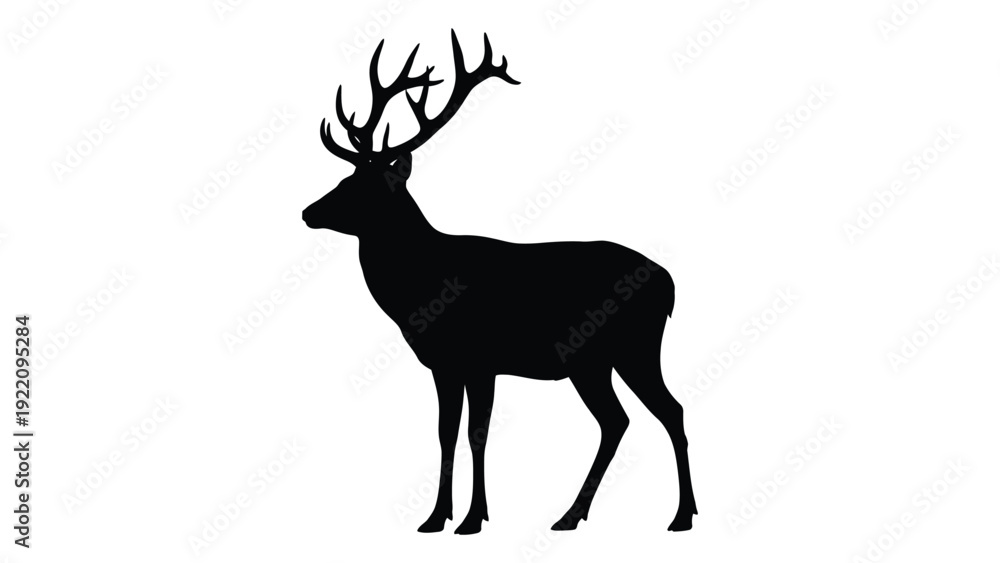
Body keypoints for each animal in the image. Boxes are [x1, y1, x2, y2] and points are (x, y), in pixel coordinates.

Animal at [303, 30, 697, 535]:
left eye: (366, 187)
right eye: (344, 178)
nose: (307, 211)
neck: (418, 292)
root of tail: (669, 282)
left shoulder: (479, 357)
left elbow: (477, 434)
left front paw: (472, 519)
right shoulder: (445, 364)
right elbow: (446, 433)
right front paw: (437, 517)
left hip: (632, 346)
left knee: (666, 411)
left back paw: (679, 516)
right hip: (597, 361)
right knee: (620, 420)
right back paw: (573, 515)